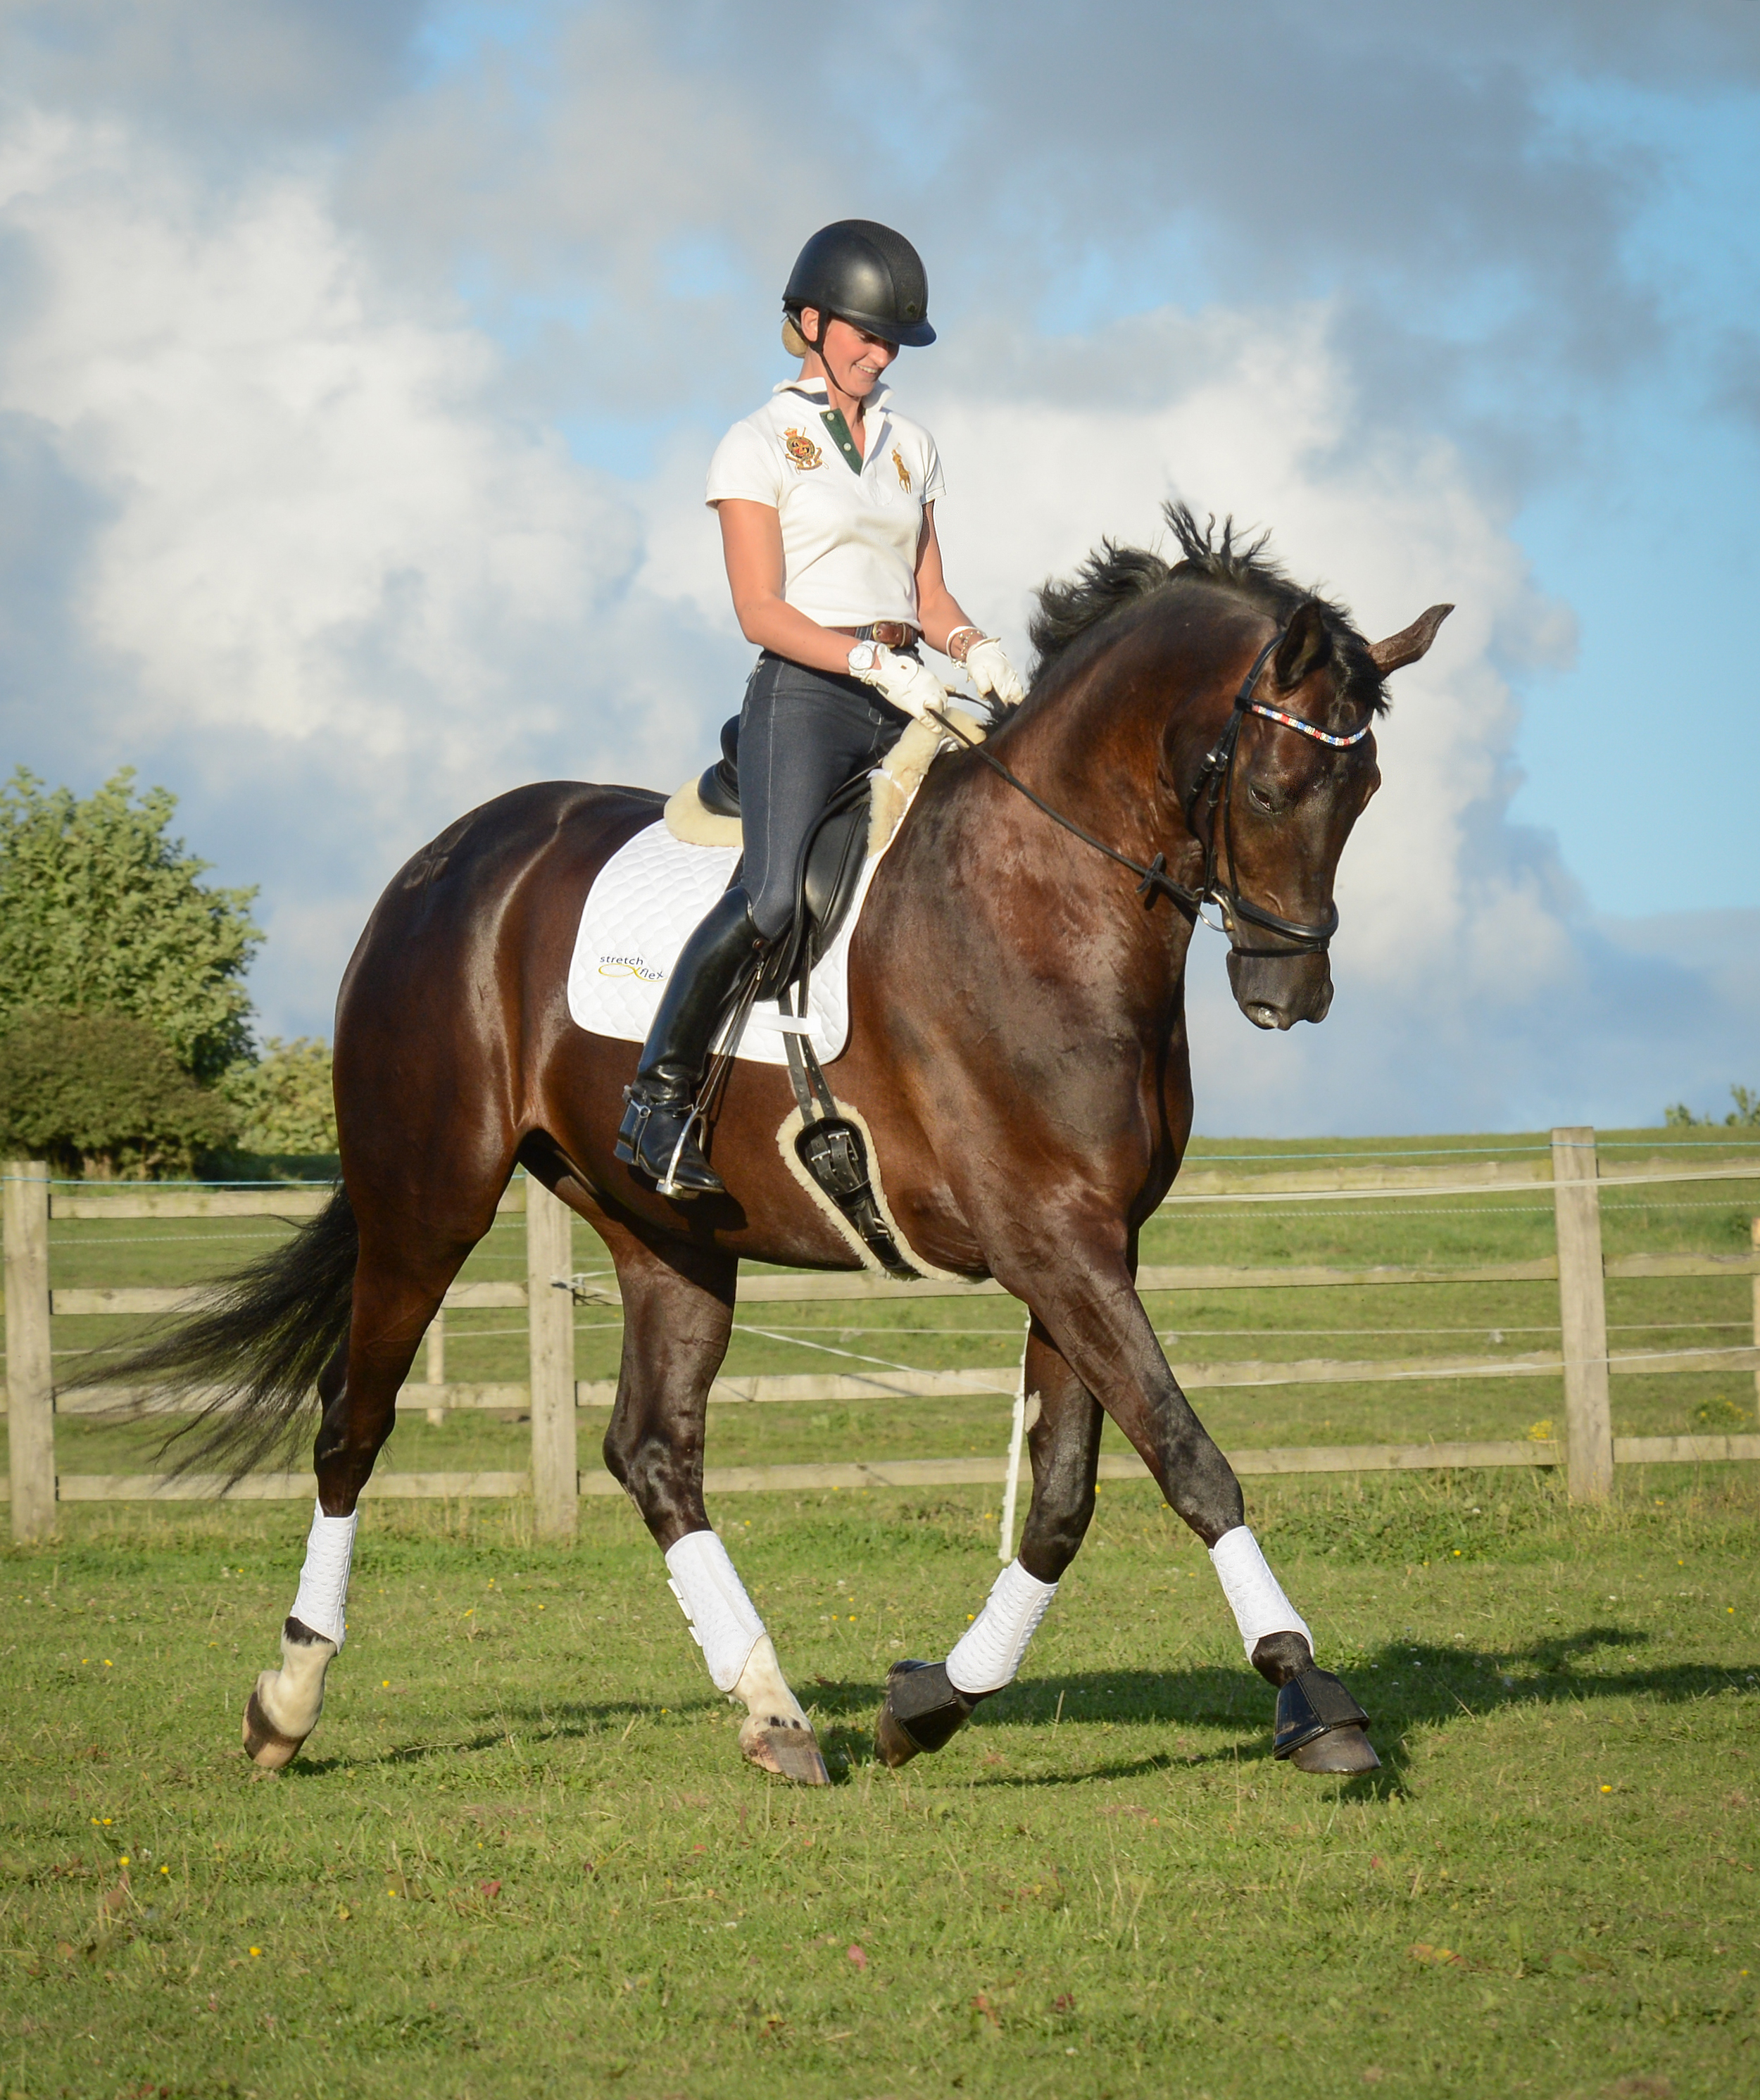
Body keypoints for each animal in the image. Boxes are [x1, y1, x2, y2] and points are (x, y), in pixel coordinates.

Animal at [106, 505, 1449, 1786]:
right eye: (1272, 788)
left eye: (1367, 790)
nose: (1290, 993)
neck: (1043, 892)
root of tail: (441, 862)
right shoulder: (1053, 1241)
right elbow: (1188, 1455)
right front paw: (1311, 1695)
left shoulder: (1088, 1243)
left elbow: (1063, 1500)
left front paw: (929, 1700)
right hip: (425, 1196)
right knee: (355, 1418)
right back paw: (287, 1701)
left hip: (669, 1234)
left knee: (653, 1449)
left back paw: (773, 1710)